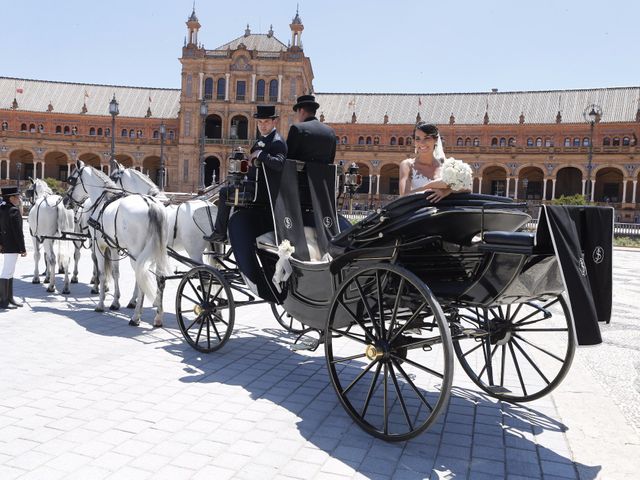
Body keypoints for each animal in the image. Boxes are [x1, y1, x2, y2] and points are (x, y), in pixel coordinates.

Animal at [67, 161, 170, 326]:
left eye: (71, 179)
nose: (66, 200)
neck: (102, 201)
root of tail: (151, 204)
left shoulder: (99, 246)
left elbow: (102, 273)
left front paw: (101, 303)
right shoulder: (114, 246)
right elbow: (116, 272)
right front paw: (115, 302)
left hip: (137, 253)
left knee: (141, 275)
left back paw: (136, 317)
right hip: (158, 253)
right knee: (160, 278)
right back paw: (158, 317)